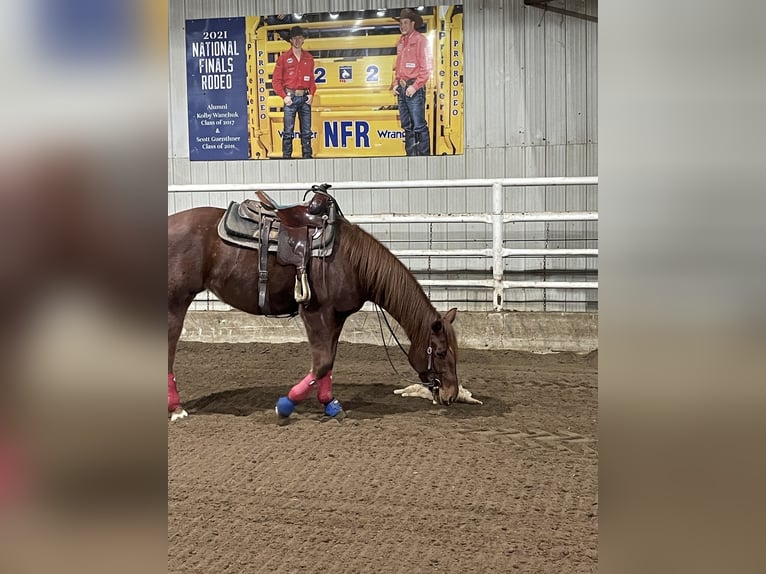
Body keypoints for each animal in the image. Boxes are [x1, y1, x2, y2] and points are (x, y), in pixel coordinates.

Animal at [169, 189, 462, 424]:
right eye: (440, 352)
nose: (451, 395)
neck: (351, 261)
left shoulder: (336, 317)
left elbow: (328, 364)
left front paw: (330, 405)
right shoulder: (314, 312)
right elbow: (321, 364)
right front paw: (285, 405)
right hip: (175, 302)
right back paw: (176, 408)